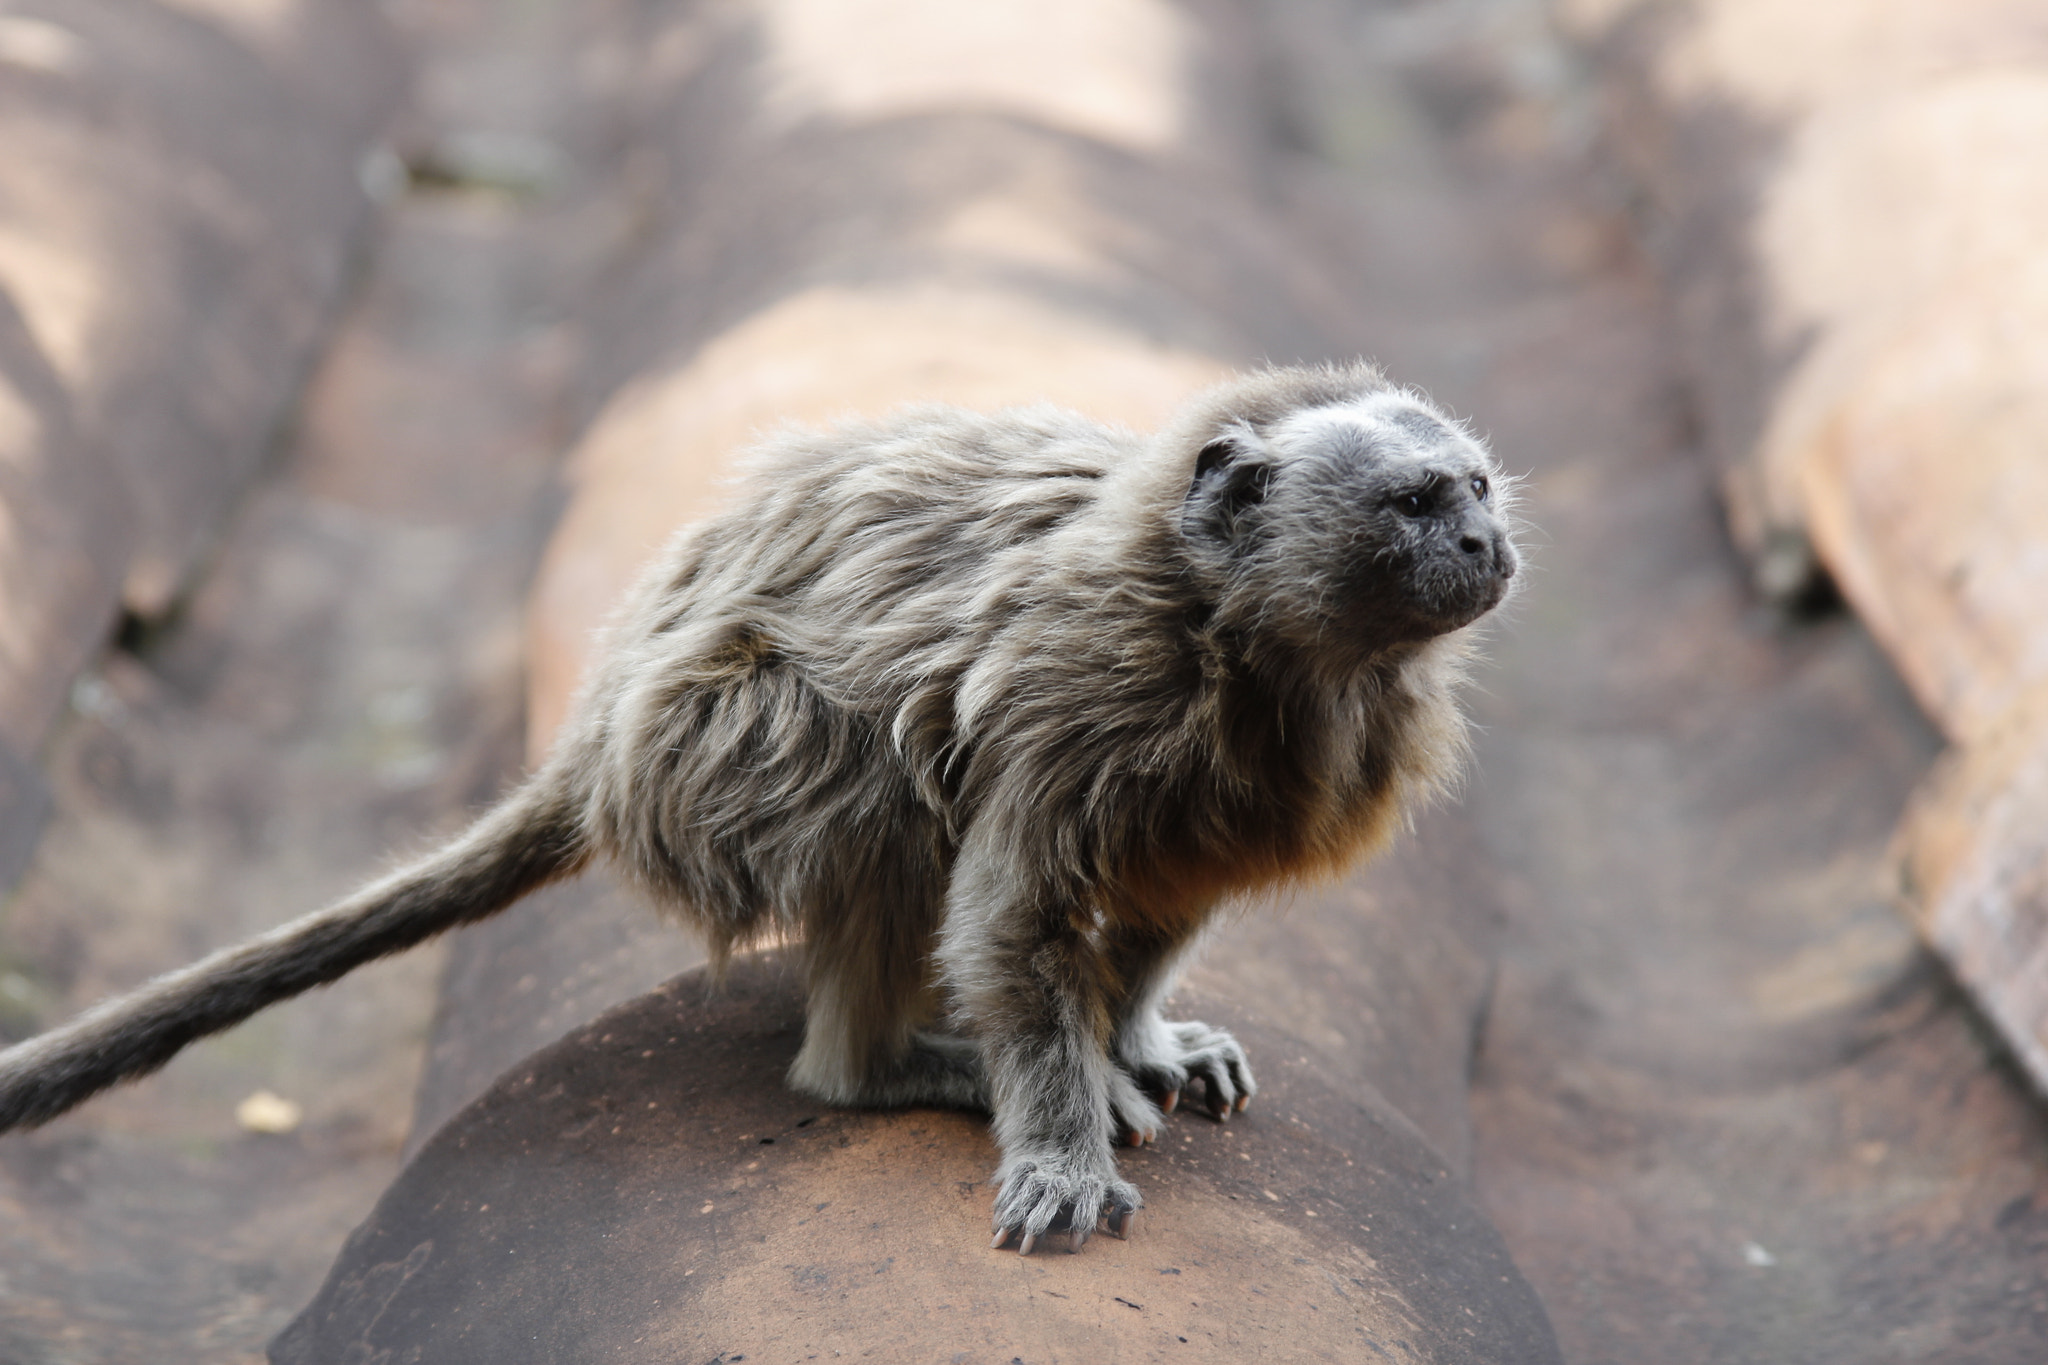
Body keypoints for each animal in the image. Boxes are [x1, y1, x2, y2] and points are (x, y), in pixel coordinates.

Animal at [0, 362, 1518, 1254]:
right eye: (1412, 506)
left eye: (1476, 491)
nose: (1487, 544)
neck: (1250, 652)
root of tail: (597, 727)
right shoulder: (1081, 686)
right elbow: (1012, 915)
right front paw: (1059, 1129)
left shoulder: (1232, 786)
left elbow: (1162, 902)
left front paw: (1136, 1034)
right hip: (699, 756)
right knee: (875, 776)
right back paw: (883, 1067)